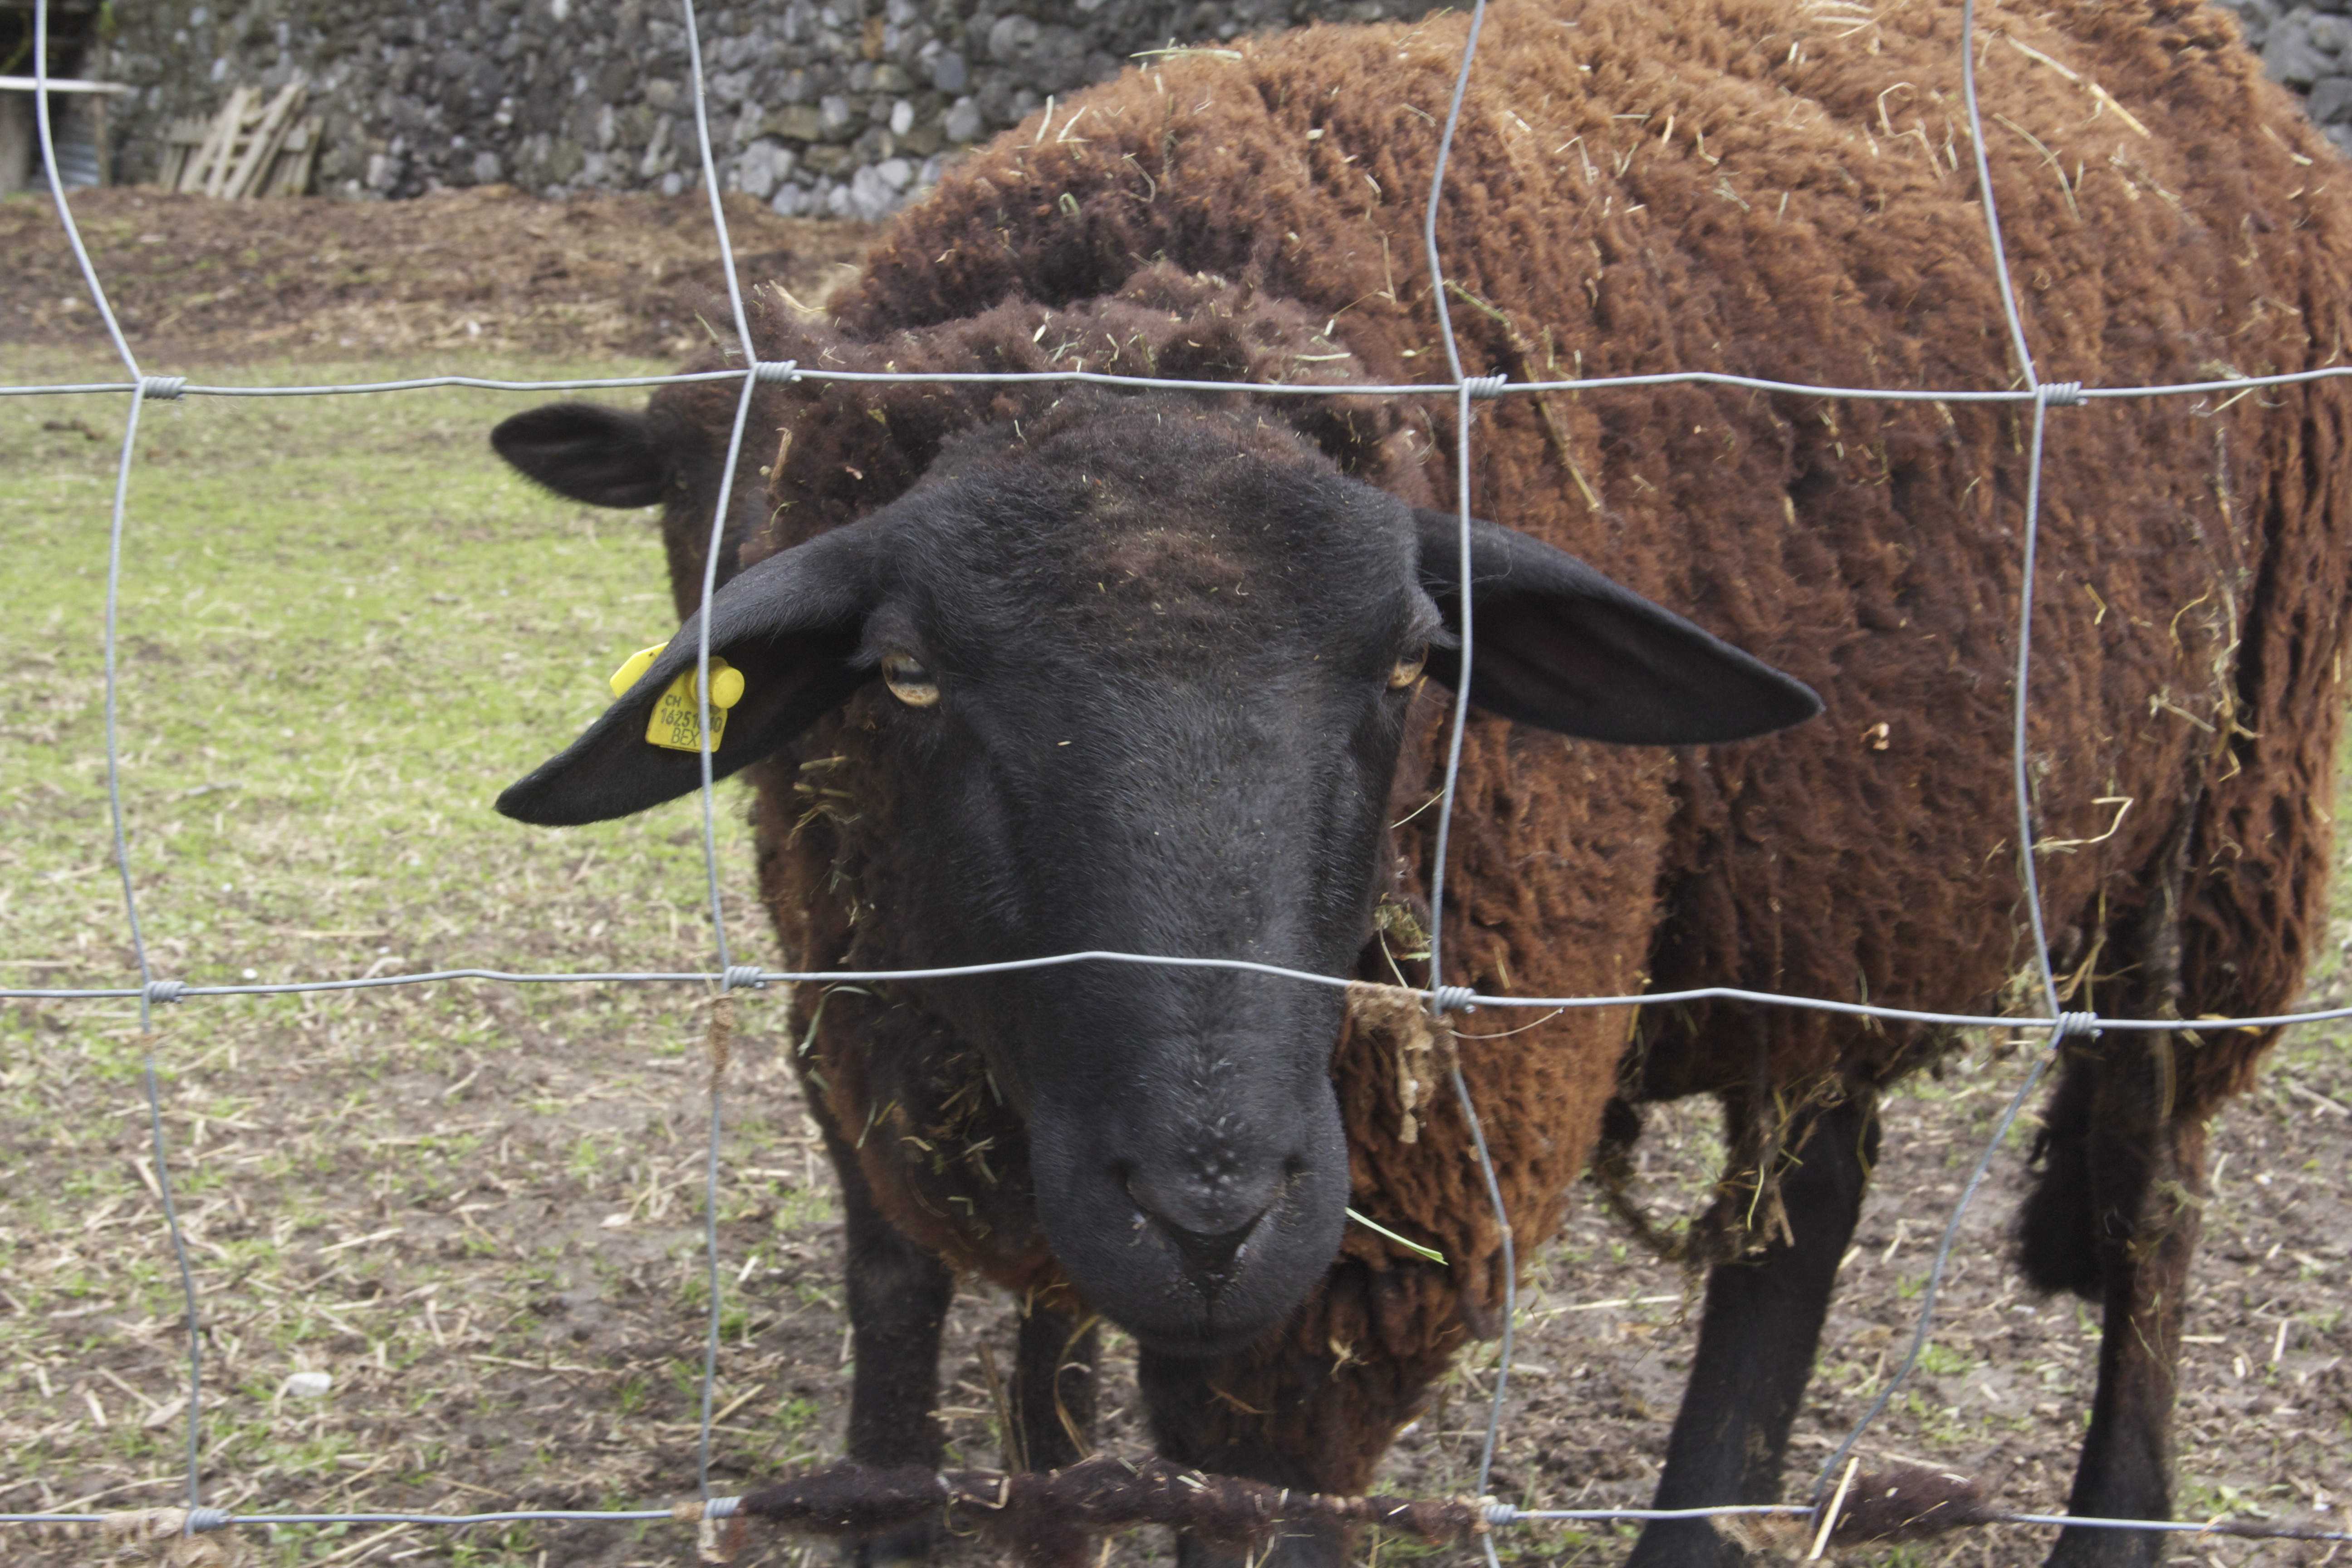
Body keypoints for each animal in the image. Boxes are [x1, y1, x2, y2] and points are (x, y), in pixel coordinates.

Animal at [489, 0, 2352, 1562]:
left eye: (1410, 664)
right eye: (907, 675)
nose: (1213, 1209)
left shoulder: (1362, 1252)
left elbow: (1252, 1489)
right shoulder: (892, 1064)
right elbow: (937, 1328)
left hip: (2226, 808)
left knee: (2152, 1196)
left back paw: (2113, 1520)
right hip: (1838, 872)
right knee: (1804, 1200)